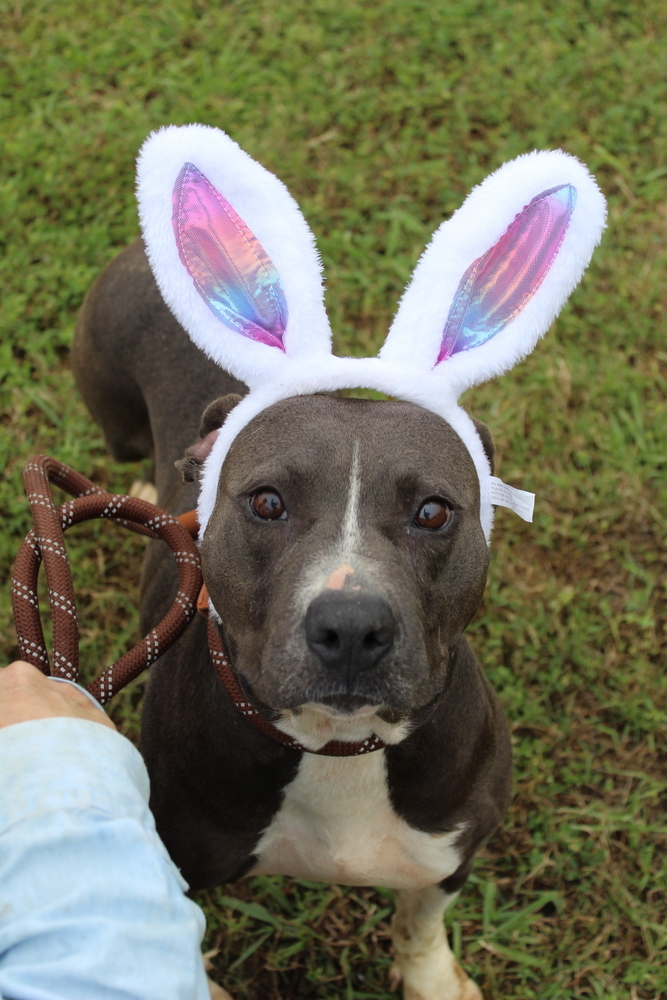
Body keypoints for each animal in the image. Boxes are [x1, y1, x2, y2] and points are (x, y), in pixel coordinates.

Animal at [72, 127, 604, 1000]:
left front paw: (432, 979)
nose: (351, 627)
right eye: (265, 503)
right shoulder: (179, 858)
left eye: (434, 512)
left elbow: (420, 921)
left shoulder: (449, 847)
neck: (337, 745)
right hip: (109, 404)